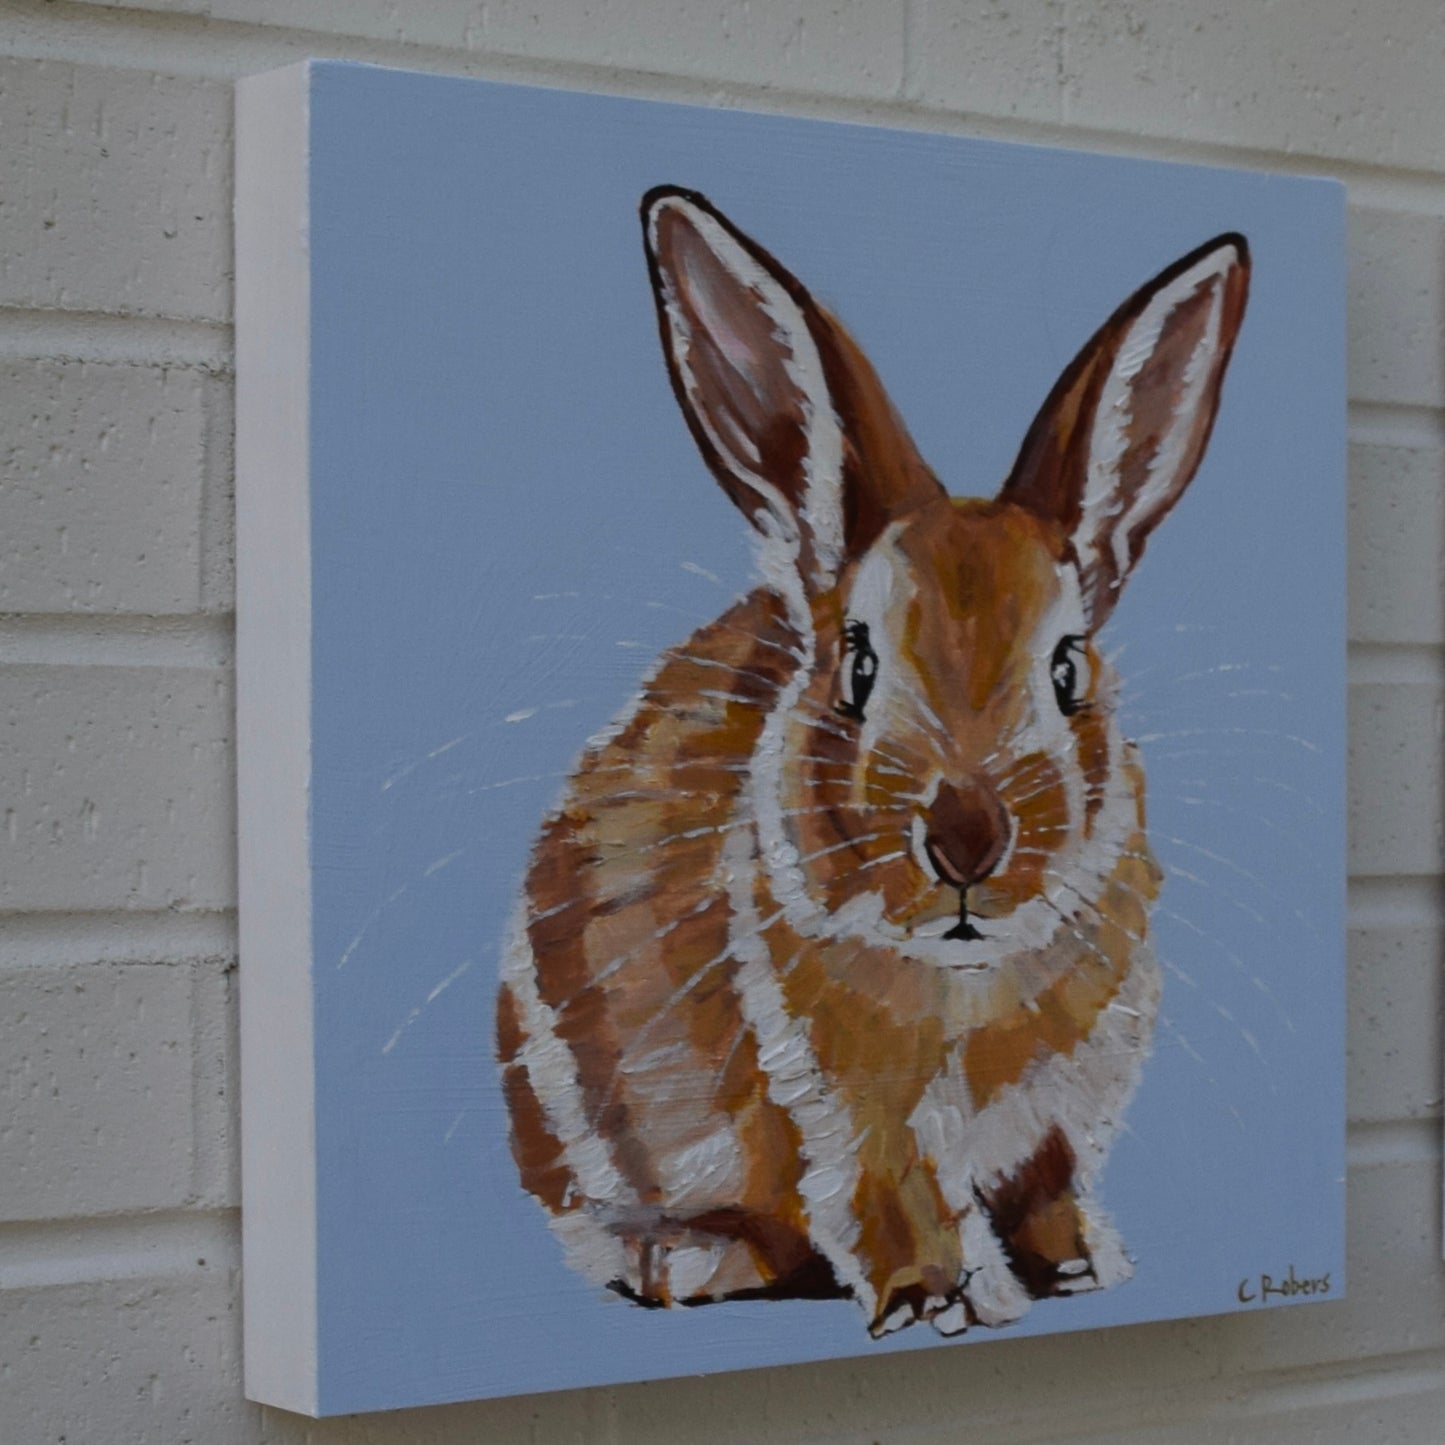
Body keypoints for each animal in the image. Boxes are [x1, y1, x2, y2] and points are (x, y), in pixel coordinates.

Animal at [496, 185, 1249, 1338]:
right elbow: (891, 1200)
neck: (969, 975)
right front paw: (940, 1300)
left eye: (1067, 668)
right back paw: (696, 1261)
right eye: (854, 664)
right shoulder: (851, 1112)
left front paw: (1083, 1267)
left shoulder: (1060, 1115)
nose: (966, 837)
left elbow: (1051, 1185)